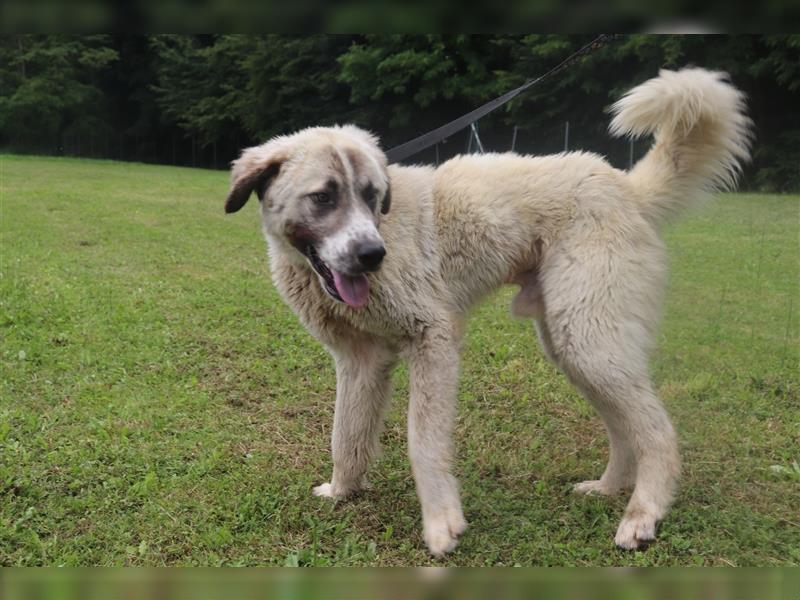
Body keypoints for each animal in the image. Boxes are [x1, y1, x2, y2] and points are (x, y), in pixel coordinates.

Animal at [223, 71, 752, 556]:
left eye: (373, 196)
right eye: (324, 196)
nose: (374, 255)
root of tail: (624, 185)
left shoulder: (432, 341)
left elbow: (423, 441)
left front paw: (441, 523)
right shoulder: (359, 361)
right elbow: (346, 433)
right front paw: (342, 490)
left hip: (590, 341)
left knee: (658, 433)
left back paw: (643, 515)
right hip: (575, 347)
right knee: (625, 428)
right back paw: (608, 489)